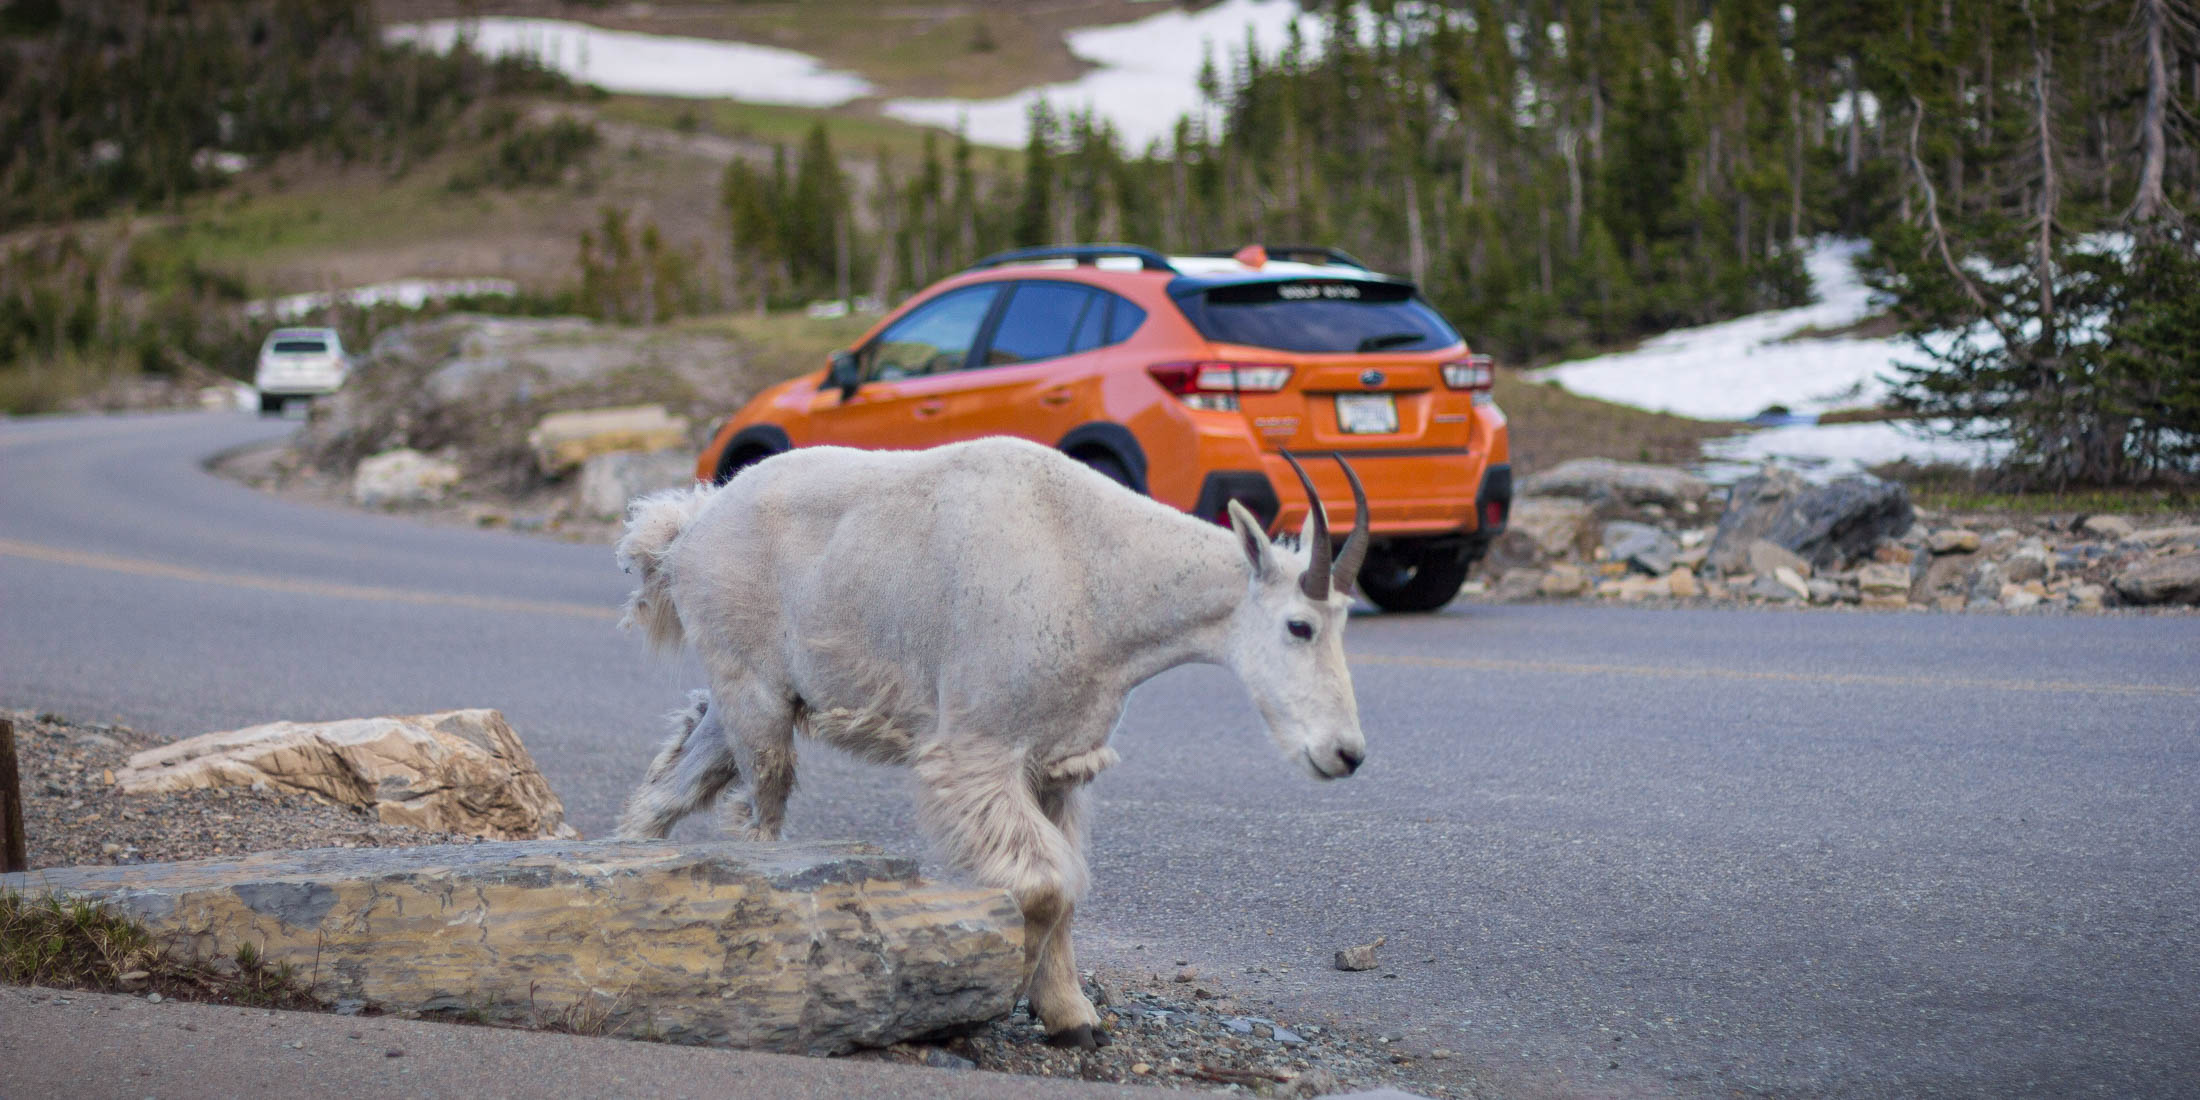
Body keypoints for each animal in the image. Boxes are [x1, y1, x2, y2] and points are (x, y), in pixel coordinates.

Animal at [612, 436, 1369, 1048]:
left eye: (1344, 622)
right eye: (1300, 626)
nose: (1346, 754)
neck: (1095, 568)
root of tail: (687, 529)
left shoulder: (1059, 764)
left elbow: (1068, 887)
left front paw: (1071, 1019)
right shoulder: (977, 753)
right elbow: (1045, 885)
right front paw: (1000, 999)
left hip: (748, 698)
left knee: (672, 782)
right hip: (757, 695)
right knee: (759, 818)